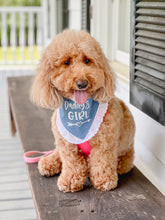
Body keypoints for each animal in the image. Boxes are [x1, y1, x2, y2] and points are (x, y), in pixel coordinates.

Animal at [31, 29, 135, 192]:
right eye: (66, 62)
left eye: (87, 61)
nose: (82, 83)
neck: (79, 109)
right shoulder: (67, 145)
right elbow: (72, 163)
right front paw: (70, 180)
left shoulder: (104, 144)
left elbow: (102, 161)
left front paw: (104, 180)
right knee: (58, 153)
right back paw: (49, 162)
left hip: (125, 155)